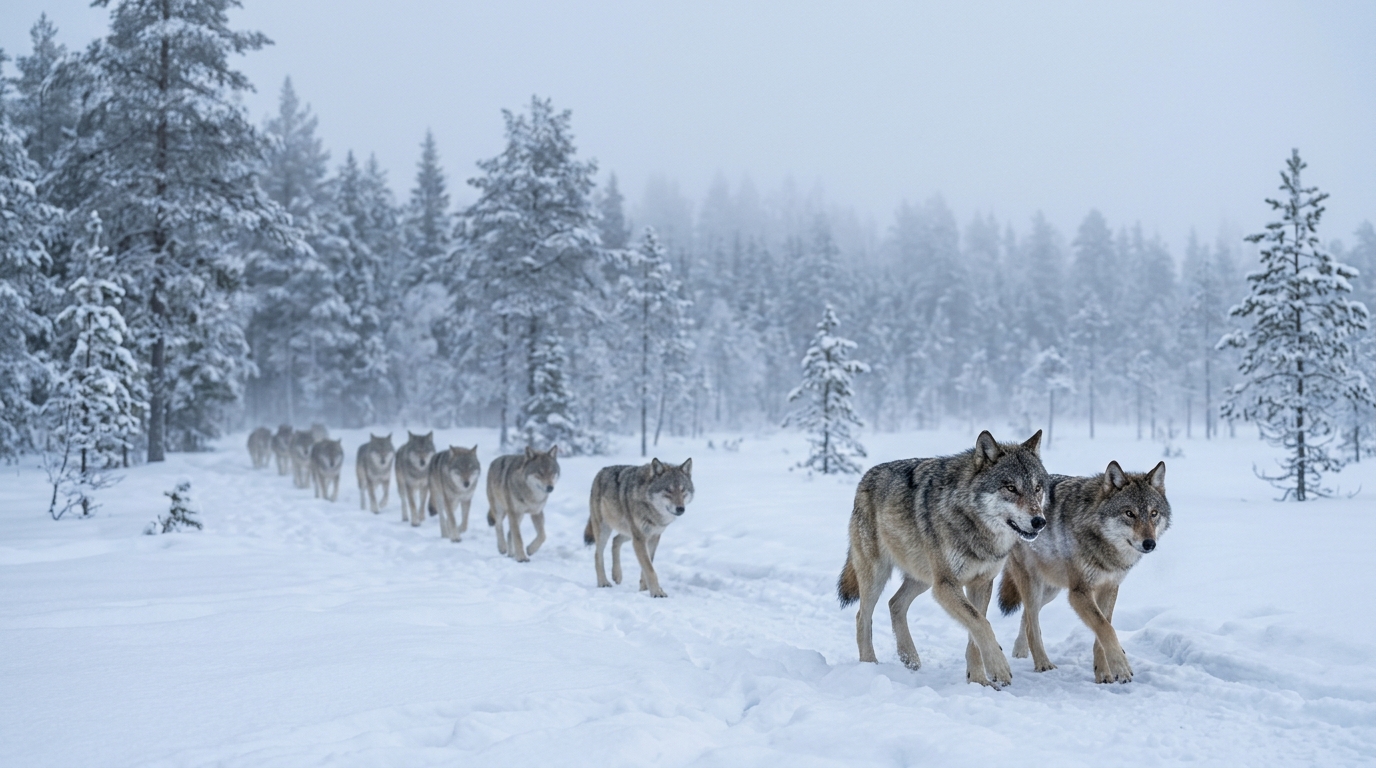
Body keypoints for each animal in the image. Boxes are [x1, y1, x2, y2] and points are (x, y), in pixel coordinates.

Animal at [583, 458, 693, 598]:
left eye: (683, 490)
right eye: (668, 490)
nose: (680, 508)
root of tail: (602, 471)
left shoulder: (653, 537)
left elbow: (647, 565)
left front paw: (644, 589)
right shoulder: (640, 539)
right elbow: (649, 569)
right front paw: (656, 592)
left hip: (628, 534)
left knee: (615, 540)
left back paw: (617, 575)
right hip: (606, 530)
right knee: (598, 554)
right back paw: (603, 582)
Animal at [837, 430, 1047, 688]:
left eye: (1037, 488)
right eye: (1010, 487)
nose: (1039, 521)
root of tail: (865, 477)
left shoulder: (981, 583)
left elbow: (975, 631)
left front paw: (978, 680)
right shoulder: (947, 584)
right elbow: (982, 624)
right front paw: (998, 668)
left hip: (924, 579)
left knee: (895, 603)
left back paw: (909, 657)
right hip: (879, 576)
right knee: (862, 617)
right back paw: (869, 666)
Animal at [997, 460, 1170, 684]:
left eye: (1154, 513)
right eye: (1129, 513)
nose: (1149, 543)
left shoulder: (1109, 588)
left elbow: (1102, 630)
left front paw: (1103, 674)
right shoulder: (1079, 593)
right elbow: (1106, 628)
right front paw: (1121, 668)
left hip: (1052, 590)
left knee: (1026, 615)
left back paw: (1020, 650)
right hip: (1035, 585)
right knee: (1031, 623)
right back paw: (1043, 664)